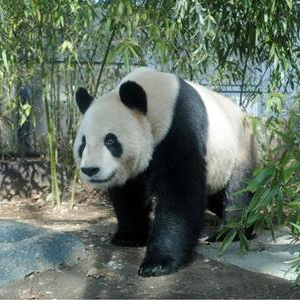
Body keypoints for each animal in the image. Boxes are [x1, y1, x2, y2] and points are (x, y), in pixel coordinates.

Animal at [72, 67, 258, 276]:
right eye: (83, 143)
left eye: (110, 140)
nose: (90, 169)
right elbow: (128, 194)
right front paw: (129, 237)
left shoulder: (179, 130)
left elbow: (179, 194)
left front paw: (157, 262)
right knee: (216, 196)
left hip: (239, 150)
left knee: (238, 191)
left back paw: (231, 232)